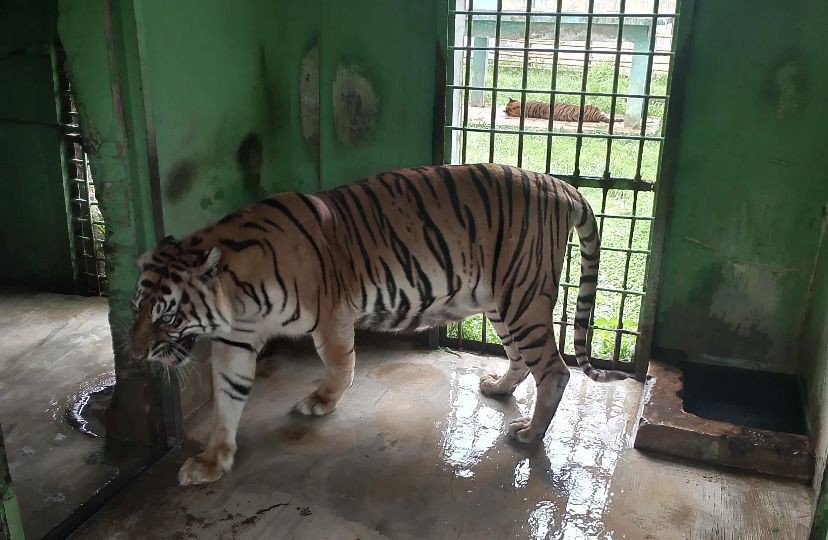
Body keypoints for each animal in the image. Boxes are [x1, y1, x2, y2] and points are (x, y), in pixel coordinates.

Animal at [129, 163, 628, 486]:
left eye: (167, 315)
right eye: (136, 308)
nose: (134, 354)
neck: (236, 297)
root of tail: (559, 184)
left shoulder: (331, 314)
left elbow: (339, 364)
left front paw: (321, 401)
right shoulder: (235, 341)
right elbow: (226, 401)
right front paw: (212, 462)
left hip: (521, 297)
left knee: (555, 370)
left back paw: (529, 435)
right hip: (501, 303)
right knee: (522, 360)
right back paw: (499, 388)